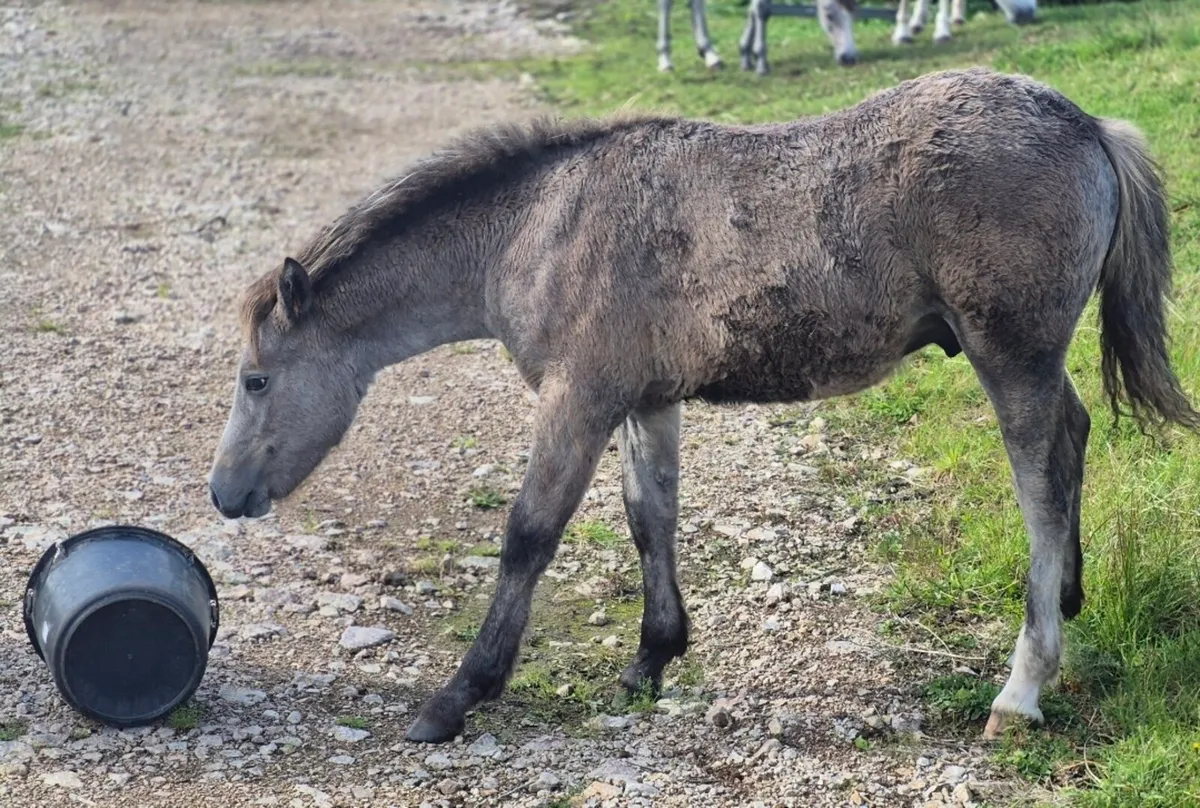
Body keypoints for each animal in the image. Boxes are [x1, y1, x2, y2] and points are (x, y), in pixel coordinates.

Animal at [208, 67, 1198, 745]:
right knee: (1073, 438)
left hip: (1010, 353)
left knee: (1040, 483)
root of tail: (1085, 123)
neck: (542, 224)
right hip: (1029, 358)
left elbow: (529, 534)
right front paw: (653, 656)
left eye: (256, 379)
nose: (222, 495)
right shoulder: (645, 399)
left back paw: (1021, 688)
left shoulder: (577, 397)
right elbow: (651, 517)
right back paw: (1069, 599)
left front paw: (457, 696)